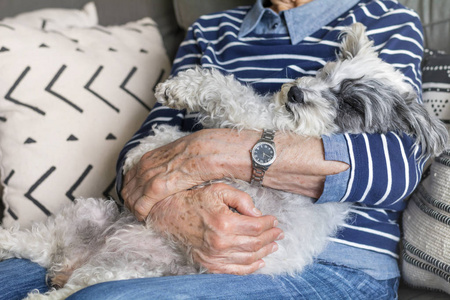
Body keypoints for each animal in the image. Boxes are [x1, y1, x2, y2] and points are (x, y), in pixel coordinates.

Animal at [0, 22, 446, 298]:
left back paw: (45, 294)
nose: (296, 92)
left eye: (352, 104)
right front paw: (148, 151)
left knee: (73, 287)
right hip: (87, 215)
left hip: (118, 272)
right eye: (326, 74)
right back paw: (11, 243)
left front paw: (184, 88)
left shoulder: (262, 123)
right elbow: (180, 137)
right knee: (39, 242)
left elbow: (230, 94)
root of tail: (75, 259)